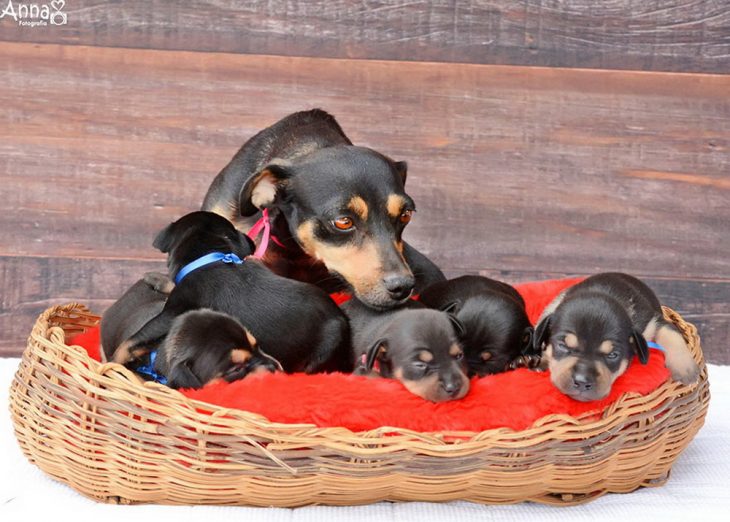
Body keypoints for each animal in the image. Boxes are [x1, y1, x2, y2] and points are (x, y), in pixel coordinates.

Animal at [532, 270, 696, 400]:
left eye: (613, 355)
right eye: (562, 346)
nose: (582, 381)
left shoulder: (654, 322)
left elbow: (671, 333)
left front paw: (685, 368)